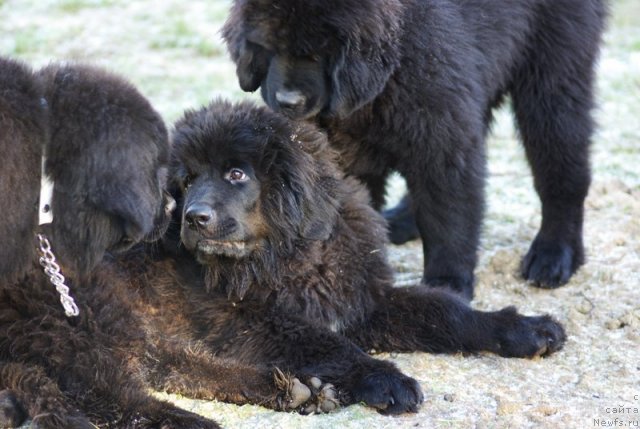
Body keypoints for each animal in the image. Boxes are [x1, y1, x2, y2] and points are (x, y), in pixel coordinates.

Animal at [0, 60, 300, 428]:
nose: (177, 209)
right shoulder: (92, 372)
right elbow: (147, 406)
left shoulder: (128, 334)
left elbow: (199, 365)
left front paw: (293, 387)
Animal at [222, 0, 608, 298]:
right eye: (268, 47)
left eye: (318, 52)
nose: (288, 101)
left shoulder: (443, 137)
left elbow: (451, 214)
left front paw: (447, 284)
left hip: (552, 77)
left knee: (561, 169)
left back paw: (554, 255)